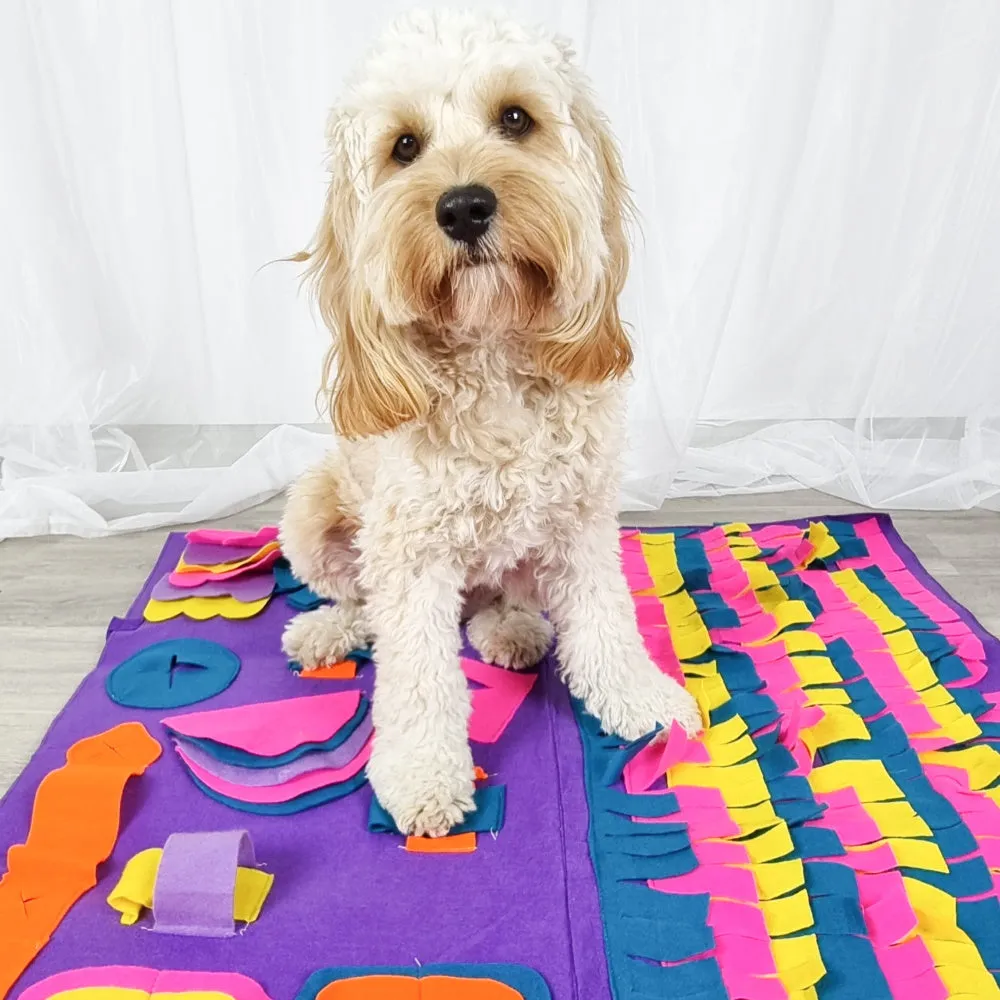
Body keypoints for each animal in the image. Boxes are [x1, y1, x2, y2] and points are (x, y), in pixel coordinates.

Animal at [280, 7, 704, 836]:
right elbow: (417, 675)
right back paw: (329, 630)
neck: (493, 355)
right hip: (315, 514)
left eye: (516, 119)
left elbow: (605, 624)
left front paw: (638, 697)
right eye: (403, 146)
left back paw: (507, 625)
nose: (464, 206)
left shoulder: (581, 523)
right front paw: (420, 774)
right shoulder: (409, 553)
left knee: (498, 599)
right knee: (362, 604)